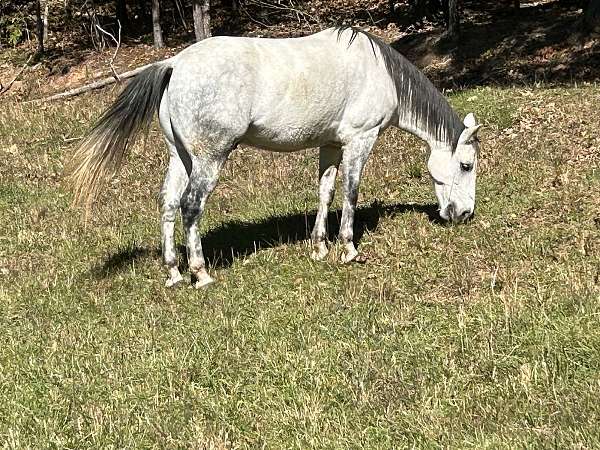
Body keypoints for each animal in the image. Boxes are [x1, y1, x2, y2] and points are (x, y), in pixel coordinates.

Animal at [69, 26, 482, 288]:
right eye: (466, 165)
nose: (463, 214)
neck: (379, 71)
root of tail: (175, 64)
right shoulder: (359, 141)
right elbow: (350, 193)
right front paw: (348, 249)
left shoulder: (330, 145)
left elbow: (326, 193)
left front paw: (319, 247)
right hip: (209, 160)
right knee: (190, 206)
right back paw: (200, 274)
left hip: (181, 157)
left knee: (169, 204)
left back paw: (173, 273)